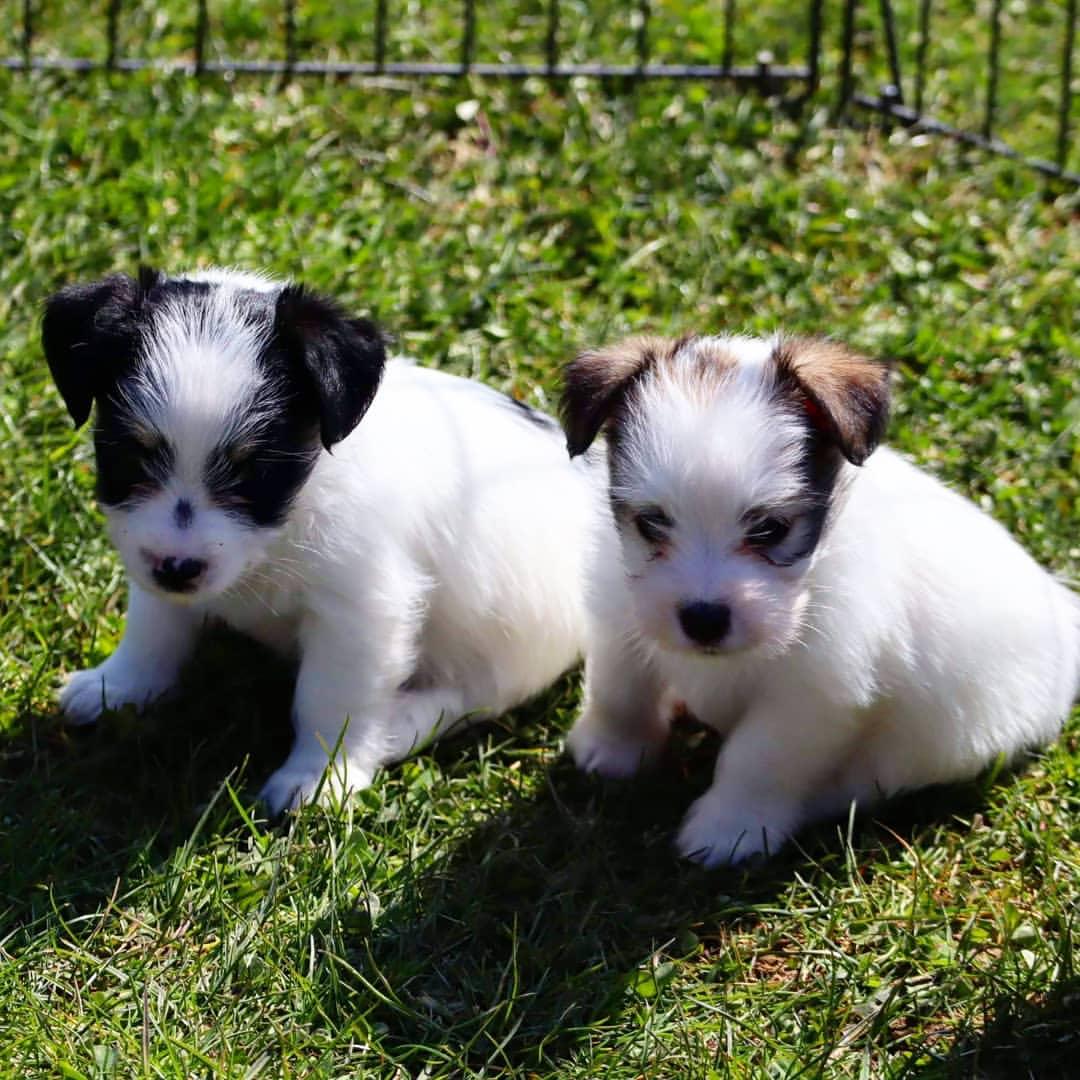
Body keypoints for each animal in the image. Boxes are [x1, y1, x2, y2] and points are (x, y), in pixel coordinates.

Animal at [44, 267, 600, 812]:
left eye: (256, 471)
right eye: (131, 456)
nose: (177, 569)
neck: (289, 521)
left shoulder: (360, 613)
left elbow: (329, 698)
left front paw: (319, 777)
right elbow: (152, 628)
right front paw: (117, 686)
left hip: (516, 644)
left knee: (471, 696)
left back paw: (398, 724)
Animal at [561, 332, 1080, 864]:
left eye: (770, 528)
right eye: (651, 523)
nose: (703, 620)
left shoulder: (810, 694)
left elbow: (758, 758)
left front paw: (730, 830)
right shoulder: (620, 619)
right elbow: (620, 690)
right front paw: (611, 749)